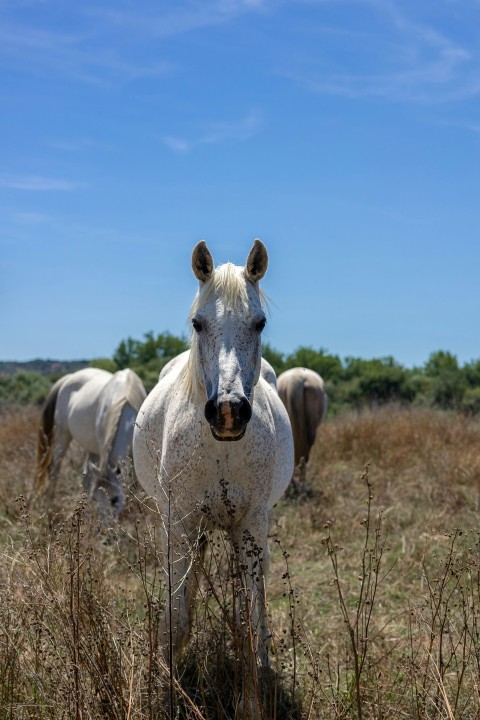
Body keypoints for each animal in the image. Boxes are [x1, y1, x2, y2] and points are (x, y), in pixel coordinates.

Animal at [35, 368, 146, 520]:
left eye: (114, 500)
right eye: (96, 498)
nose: (105, 526)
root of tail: (68, 378)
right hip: (62, 435)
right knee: (54, 469)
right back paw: (50, 506)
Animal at [133, 239, 294, 704]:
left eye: (259, 323)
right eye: (198, 323)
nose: (228, 411)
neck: (220, 450)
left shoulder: (250, 525)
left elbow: (249, 621)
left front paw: (252, 699)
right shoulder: (180, 523)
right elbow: (176, 618)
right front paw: (167, 692)